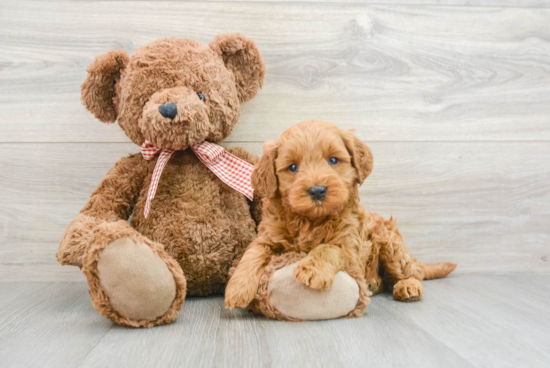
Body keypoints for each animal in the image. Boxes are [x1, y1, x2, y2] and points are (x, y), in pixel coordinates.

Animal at [224, 121, 458, 310]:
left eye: (333, 161)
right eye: (293, 167)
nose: (317, 190)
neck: (310, 220)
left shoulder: (351, 246)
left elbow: (328, 248)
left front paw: (312, 270)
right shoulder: (267, 237)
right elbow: (252, 254)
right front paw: (236, 289)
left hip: (392, 246)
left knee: (412, 272)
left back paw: (408, 286)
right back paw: (375, 282)